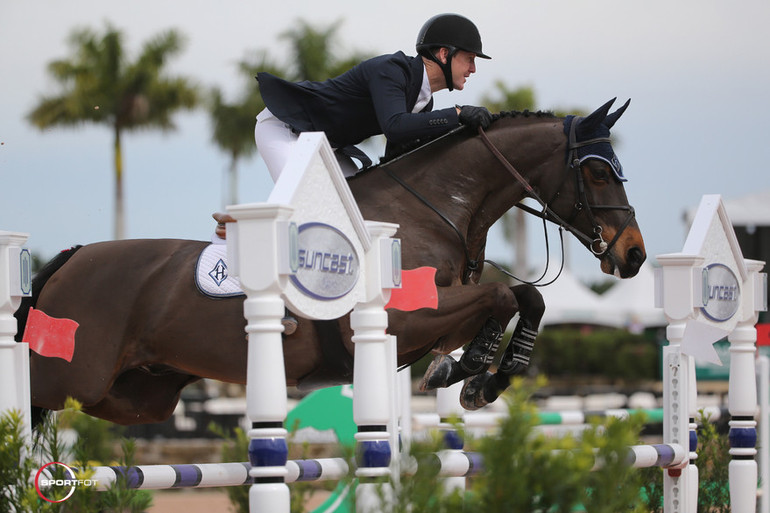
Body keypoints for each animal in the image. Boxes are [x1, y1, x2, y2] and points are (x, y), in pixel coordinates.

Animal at [15, 97, 644, 424]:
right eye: (595, 171)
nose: (634, 254)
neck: (430, 208)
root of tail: (69, 260)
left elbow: (524, 297)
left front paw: (483, 377)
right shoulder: (404, 317)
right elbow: (501, 294)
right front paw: (467, 373)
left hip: (133, 395)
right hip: (69, 375)